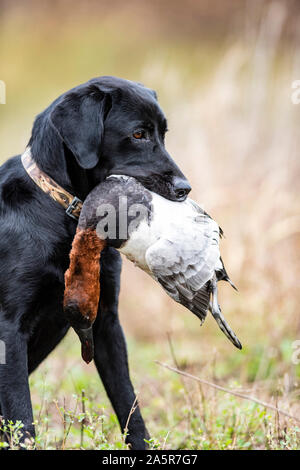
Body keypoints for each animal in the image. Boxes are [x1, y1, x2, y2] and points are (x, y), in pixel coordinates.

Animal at [0, 76, 191, 448]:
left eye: (163, 133)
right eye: (137, 134)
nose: (184, 188)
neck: (64, 215)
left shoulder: (106, 322)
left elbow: (129, 404)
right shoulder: (8, 330)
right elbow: (22, 419)